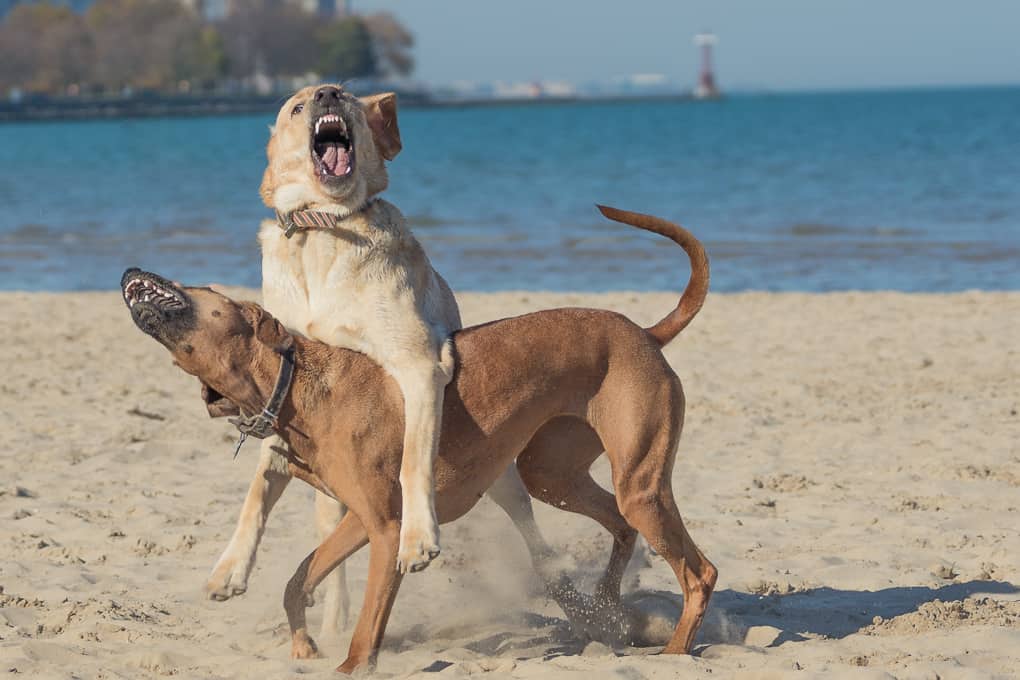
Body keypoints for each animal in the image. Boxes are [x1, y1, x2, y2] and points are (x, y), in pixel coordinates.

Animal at [123, 207, 718, 676]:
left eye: (197, 287)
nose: (129, 268)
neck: (295, 386)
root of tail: (644, 333)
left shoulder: (387, 530)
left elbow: (367, 625)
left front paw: (349, 662)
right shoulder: (361, 519)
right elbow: (298, 579)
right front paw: (304, 644)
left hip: (639, 485)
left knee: (700, 572)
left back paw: (672, 651)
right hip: (554, 476)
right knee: (620, 526)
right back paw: (609, 613)